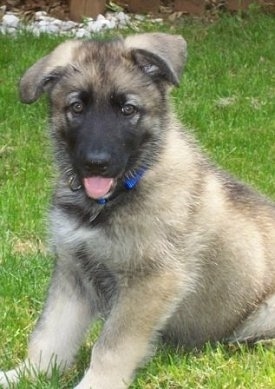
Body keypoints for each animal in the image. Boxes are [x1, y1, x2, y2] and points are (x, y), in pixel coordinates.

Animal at [1, 33, 275, 388]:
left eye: (127, 109)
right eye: (77, 107)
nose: (96, 163)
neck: (112, 201)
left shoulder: (150, 281)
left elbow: (111, 347)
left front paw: (94, 384)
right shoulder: (73, 270)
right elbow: (50, 334)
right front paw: (26, 374)